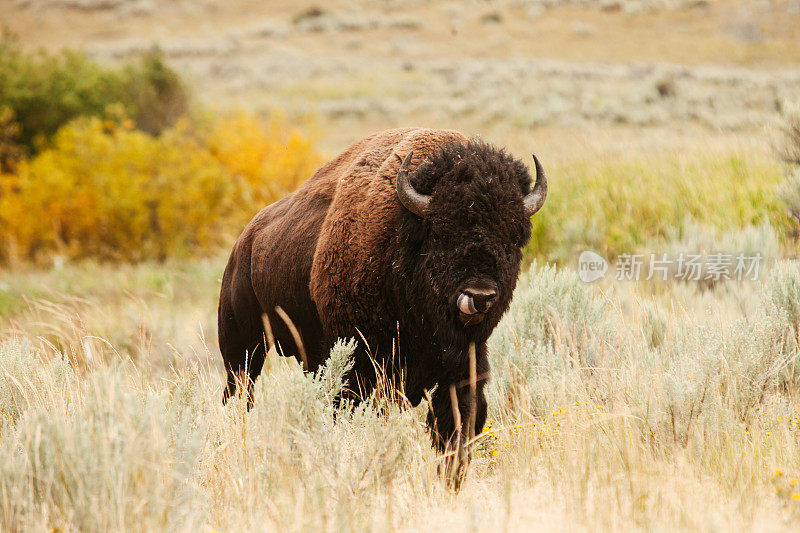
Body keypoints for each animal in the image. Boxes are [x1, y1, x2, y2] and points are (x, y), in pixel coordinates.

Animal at [217, 128, 544, 478]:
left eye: (512, 239)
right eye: (441, 233)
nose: (479, 296)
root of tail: (244, 243)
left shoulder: (463, 369)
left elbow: (455, 429)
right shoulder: (358, 368)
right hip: (243, 350)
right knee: (239, 394)